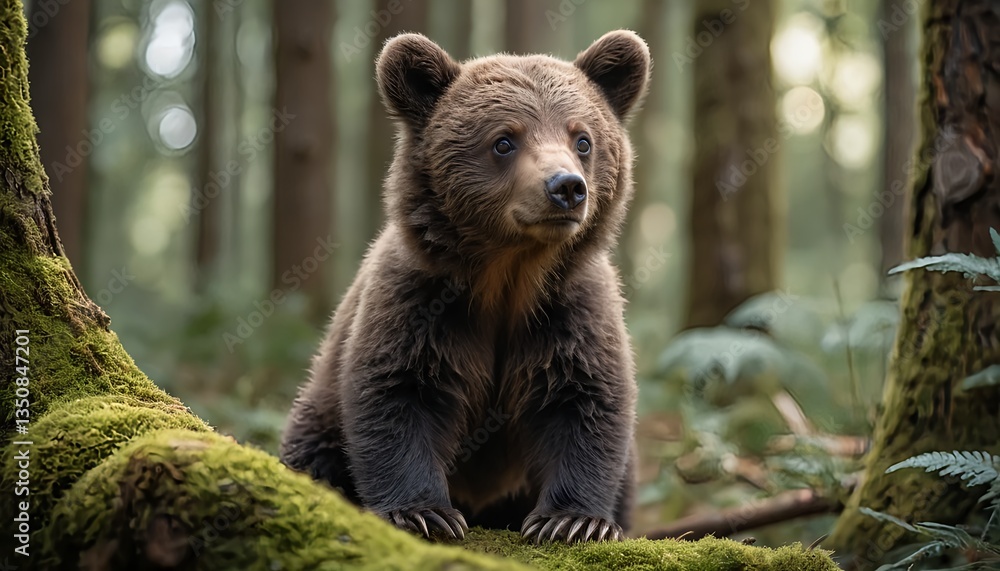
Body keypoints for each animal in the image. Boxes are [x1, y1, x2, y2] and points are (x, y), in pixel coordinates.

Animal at [280, 30, 650, 544]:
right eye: (504, 140)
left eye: (583, 140)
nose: (567, 188)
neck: (508, 277)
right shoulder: (418, 303)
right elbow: (396, 397)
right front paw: (422, 512)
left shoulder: (571, 311)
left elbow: (586, 403)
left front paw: (573, 520)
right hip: (320, 407)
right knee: (313, 452)